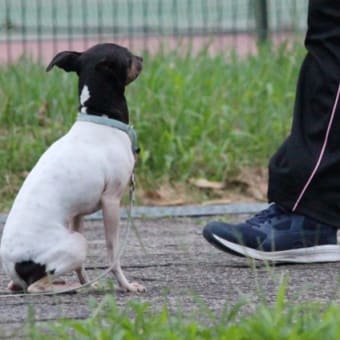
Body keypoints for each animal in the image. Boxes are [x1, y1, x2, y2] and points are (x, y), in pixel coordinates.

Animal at [0, 41, 145, 292]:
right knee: (35, 287)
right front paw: (126, 285)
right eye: (128, 56)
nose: (142, 59)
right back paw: (63, 286)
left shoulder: (78, 214)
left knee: (20, 285)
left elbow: (82, 268)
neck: (101, 119)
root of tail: (12, 266)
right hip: (77, 243)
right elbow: (113, 254)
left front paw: (89, 284)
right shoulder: (111, 202)